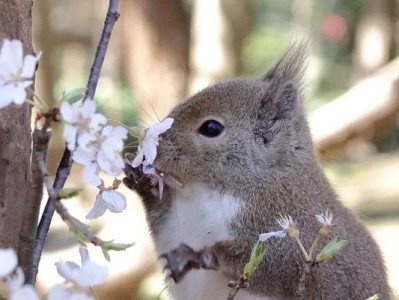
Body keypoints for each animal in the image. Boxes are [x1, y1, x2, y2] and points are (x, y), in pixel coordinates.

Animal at [123, 44, 390, 300]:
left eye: (211, 128)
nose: (152, 146)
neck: (206, 192)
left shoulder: (291, 234)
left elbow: (269, 264)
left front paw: (198, 255)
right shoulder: (175, 224)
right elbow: (164, 229)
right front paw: (143, 182)